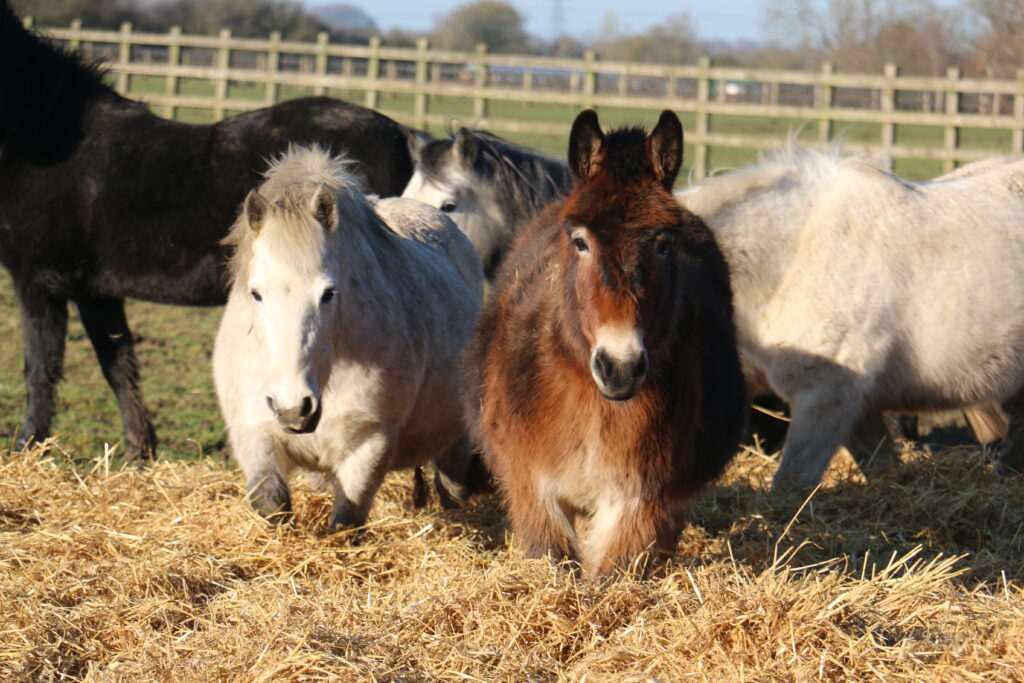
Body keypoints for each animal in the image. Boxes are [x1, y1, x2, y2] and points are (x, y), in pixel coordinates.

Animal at [0, 1, 418, 460]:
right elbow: (119, 365)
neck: (48, 139)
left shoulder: (39, 284)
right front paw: (138, 451)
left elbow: (40, 367)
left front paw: (26, 446)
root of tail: (401, 133)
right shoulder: (94, 292)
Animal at [214, 145, 483, 528]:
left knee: (453, 483)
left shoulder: (369, 443)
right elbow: (271, 503)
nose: (294, 409)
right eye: (255, 293)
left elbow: (346, 521)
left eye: (328, 293)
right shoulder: (254, 433)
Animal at [466, 110, 747, 576]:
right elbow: (553, 562)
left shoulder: (641, 502)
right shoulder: (533, 488)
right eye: (580, 242)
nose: (620, 367)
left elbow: (614, 575)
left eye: (664, 245)